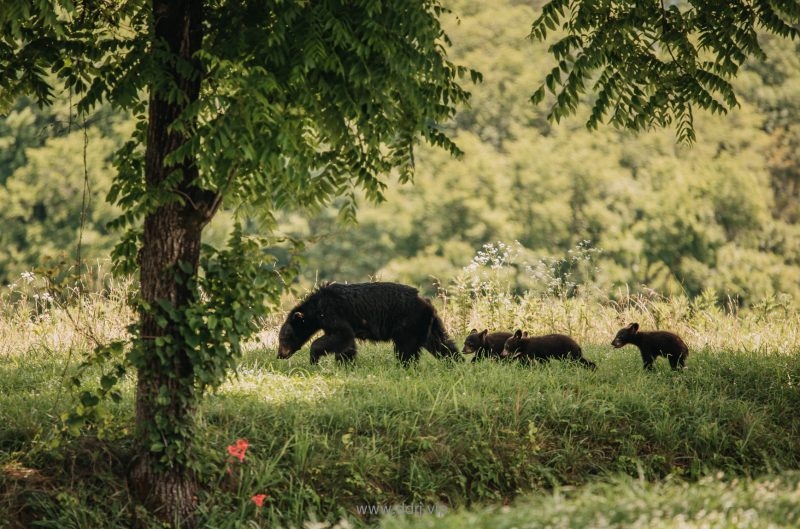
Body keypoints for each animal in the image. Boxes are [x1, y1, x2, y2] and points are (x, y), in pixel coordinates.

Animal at [276, 282, 460, 366]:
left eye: (284, 338)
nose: (280, 355)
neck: (316, 308)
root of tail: (426, 302)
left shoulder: (332, 313)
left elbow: (341, 334)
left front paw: (314, 358)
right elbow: (346, 343)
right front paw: (345, 363)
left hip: (408, 322)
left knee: (406, 348)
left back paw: (404, 366)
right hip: (428, 324)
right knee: (441, 343)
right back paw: (455, 361)